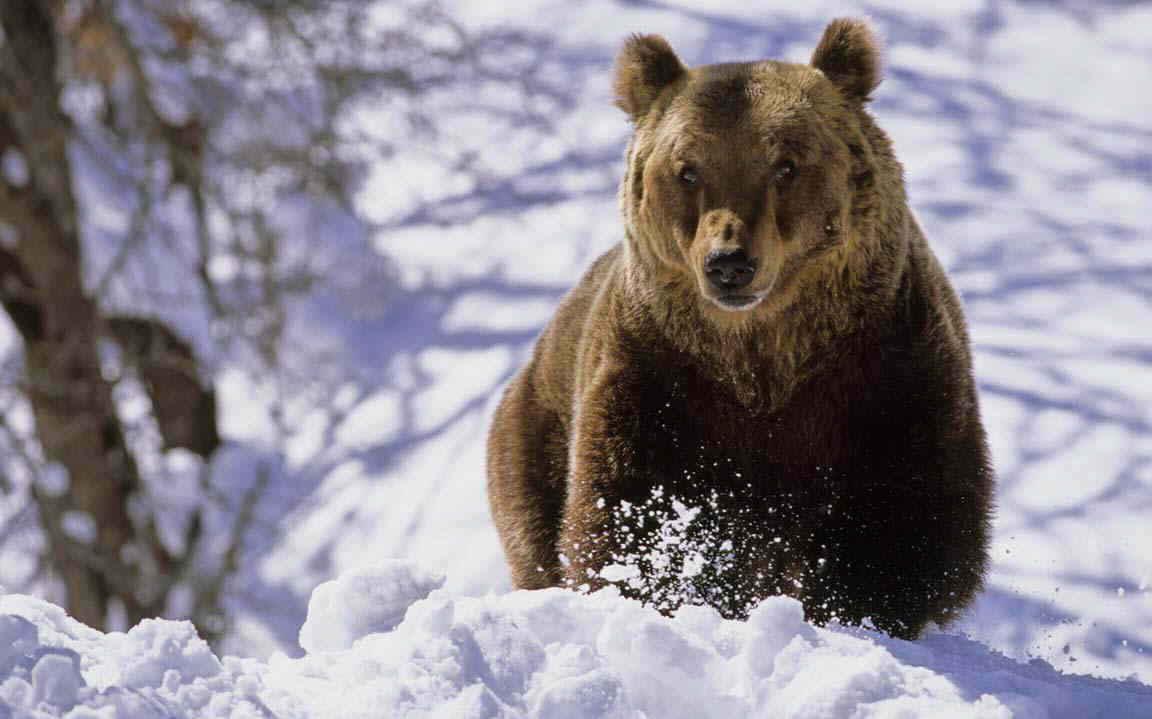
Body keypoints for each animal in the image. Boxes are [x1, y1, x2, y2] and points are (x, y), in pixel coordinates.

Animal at [481, 18, 995, 640]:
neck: (763, 354)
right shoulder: (662, 377)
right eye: (688, 170)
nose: (729, 262)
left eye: (785, 165)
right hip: (537, 430)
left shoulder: (885, 369)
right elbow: (629, 509)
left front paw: (852, 606)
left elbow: (909, 512)